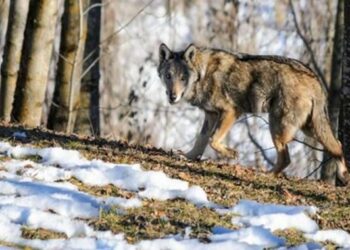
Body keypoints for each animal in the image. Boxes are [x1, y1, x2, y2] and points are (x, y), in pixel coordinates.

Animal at [157, 43, 348, 184]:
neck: (202, 74)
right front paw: (188, 156)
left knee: (286, 159)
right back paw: (344, 175)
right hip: (309, 129)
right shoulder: (210, 114)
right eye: (168, 76)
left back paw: (266, 175)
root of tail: (314, 78)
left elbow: (213, 139)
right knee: (337, 145)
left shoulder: (231, 111)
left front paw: (231, 154)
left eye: (183, 78)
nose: (172, 96)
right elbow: (201, 140)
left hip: (277, 127)